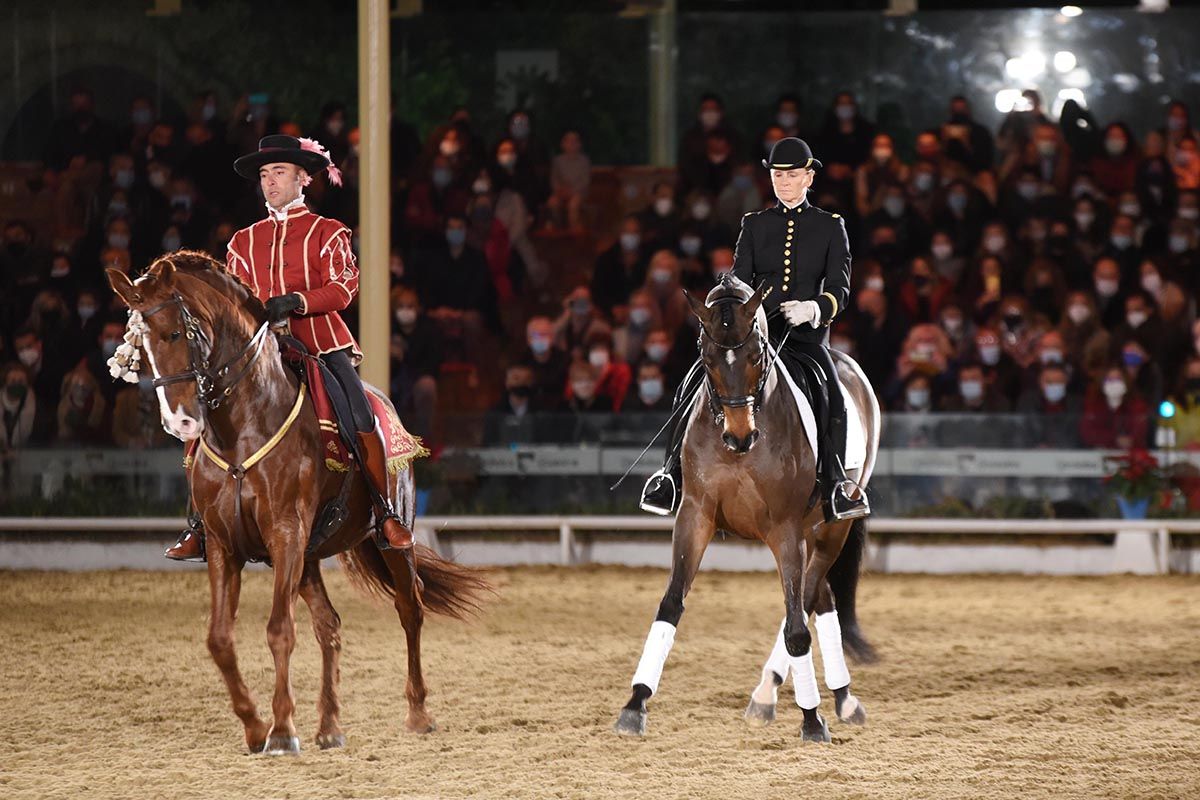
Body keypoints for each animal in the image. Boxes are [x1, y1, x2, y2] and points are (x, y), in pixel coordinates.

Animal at [105, 253, 489, 753]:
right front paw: (254, 727)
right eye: (142, 347)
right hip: (308, 558)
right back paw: (329, 726)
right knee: (329, 625)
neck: (243, 426)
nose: (181, 422)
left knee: (411, 609)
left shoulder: (285, 533)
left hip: (389, 542)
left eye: (175, 333)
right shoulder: (225, 545)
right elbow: (219, 638)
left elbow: (278, 630)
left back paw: (418, 712)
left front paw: (283, 730)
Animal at [619, 275, 883, 743]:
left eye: (756, 355)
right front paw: (636, 703)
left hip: (830, 528)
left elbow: (796, 626)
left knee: (808, 599)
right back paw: (839, 695)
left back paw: (782, 693)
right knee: (822, 597)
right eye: (706, 358)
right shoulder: (695, 516)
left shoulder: (786, 530)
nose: (739, 437)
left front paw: (811, 720)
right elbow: (670, 605)